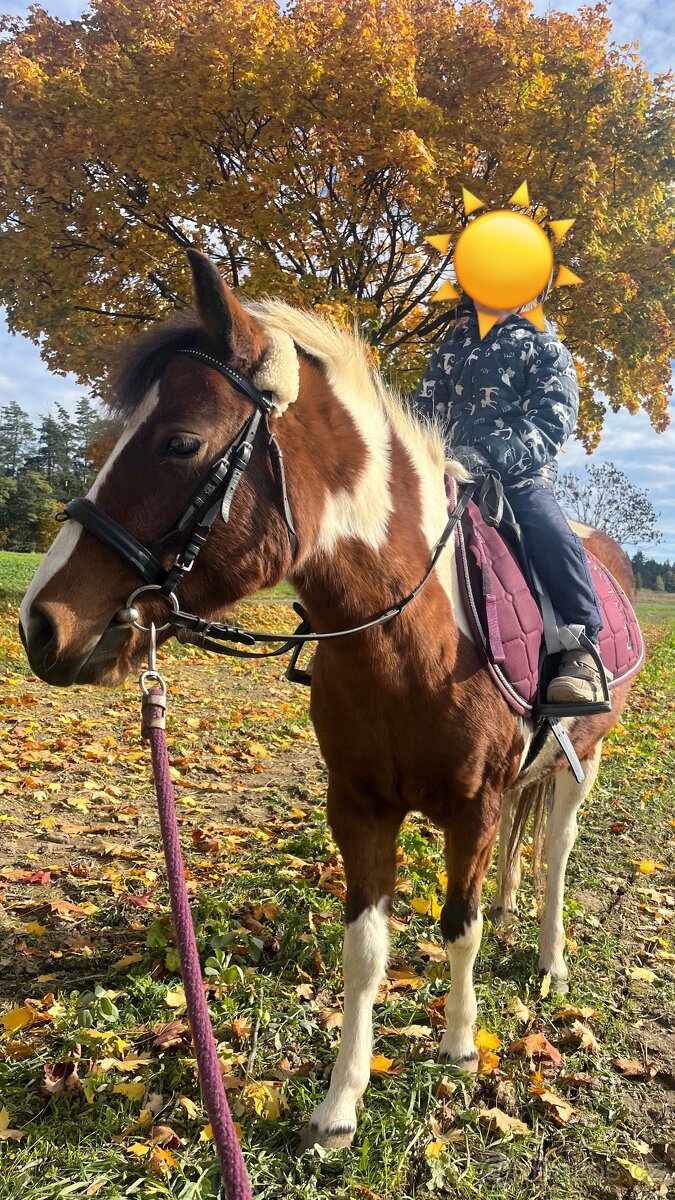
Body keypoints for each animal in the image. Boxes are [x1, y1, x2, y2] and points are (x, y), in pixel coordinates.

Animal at [20, 250, 638, 1151]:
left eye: (181, 442)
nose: (39, 623)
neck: (413, 638)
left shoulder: (474, 805)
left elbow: (457, 926)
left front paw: (458, 1046)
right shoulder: (358, 805)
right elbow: (365, 952)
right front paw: (339, 1106)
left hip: (578, 761)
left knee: (555, 852)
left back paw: (550, 960)